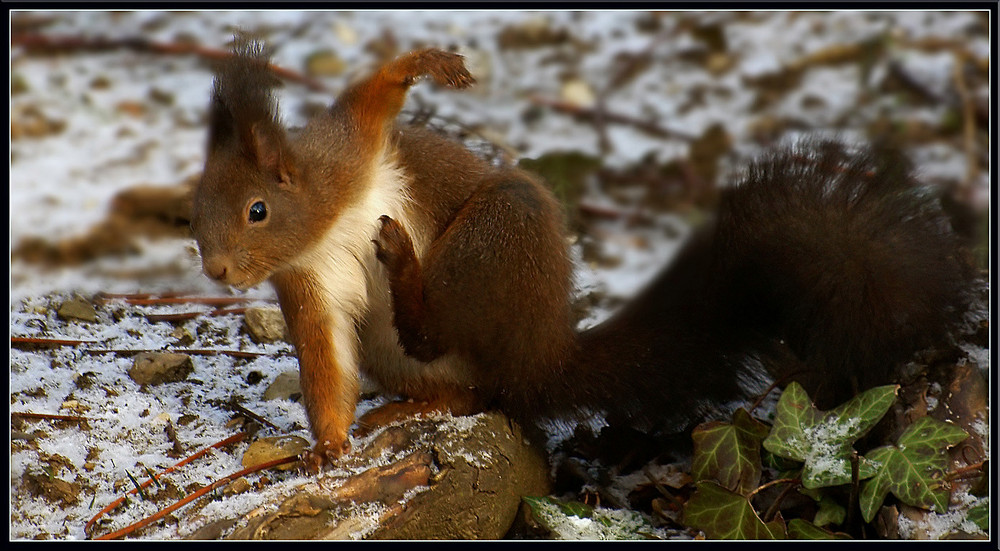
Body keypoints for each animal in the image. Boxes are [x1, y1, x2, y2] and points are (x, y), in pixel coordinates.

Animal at [189, 38, 976, 470]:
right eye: (193, 212)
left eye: (257, 210)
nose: (218, 270)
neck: (322, 220)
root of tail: (544, 357)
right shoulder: (309, 284)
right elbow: (326, 368)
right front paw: (329, 447)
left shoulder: (350, 151)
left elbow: (373, 96)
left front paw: (427, 64)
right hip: (424, 345)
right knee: (473, 389)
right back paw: (411, 405)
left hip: (499, 235)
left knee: (451, 340)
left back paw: (405, 266)